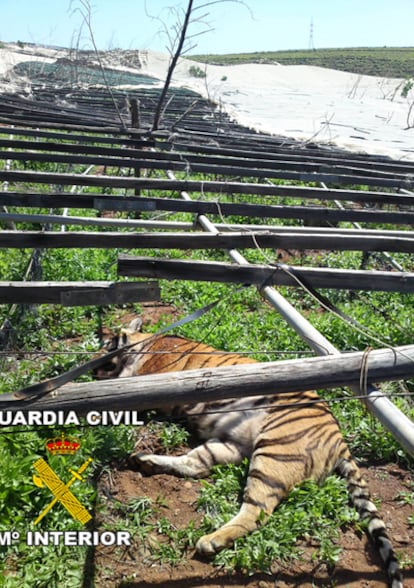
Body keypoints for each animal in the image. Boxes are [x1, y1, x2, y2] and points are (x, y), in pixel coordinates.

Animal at [102, 322, 402, 588]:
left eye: (107, 342)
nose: (100, 344)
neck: (145, 342)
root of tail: (339, 438)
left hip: (274, 454)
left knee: (257, 511)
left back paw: (211, 540)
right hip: (229, 445)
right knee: (195, 465)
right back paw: (146, 462)